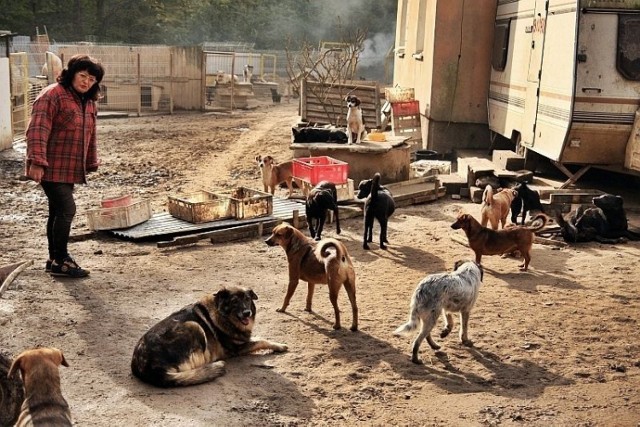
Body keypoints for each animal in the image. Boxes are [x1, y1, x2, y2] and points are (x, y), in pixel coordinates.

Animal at [131, 286, 286, 390]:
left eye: (247, 299)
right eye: (234, 302)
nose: (247, 313)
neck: (222, 314)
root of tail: (147, 368)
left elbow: (260, 338)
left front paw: (278, 344)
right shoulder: (236, 348)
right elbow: (260, 341)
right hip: (194, 325)